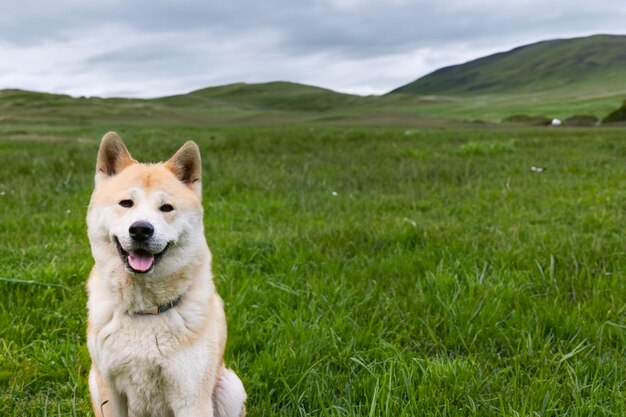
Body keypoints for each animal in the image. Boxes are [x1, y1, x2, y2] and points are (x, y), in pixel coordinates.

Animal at [86, 132, 246, 416]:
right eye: (126, 203)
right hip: (93, 380)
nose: (140, 229)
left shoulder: (191, 398)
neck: (145, 312)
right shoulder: (110, 392)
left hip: (231, 386)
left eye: (166, 208)